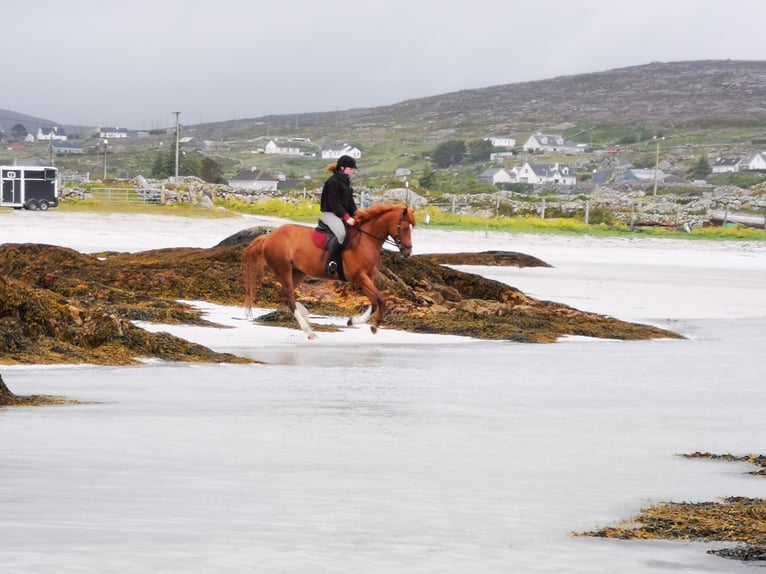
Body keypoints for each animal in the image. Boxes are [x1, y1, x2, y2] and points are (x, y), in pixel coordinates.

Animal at [243, 204, 416, 340]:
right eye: (405, 228)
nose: (407, 253)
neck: (367, 241)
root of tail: (268, 237)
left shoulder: (368, 277)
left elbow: (375, 301)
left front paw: (358, 322)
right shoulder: (360, 277)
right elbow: (380, 299)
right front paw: (370, 324)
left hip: (297, 271)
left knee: (286, 294)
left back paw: (305, 315)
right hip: (283, 269)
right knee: (289, 297)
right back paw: (309, 331)